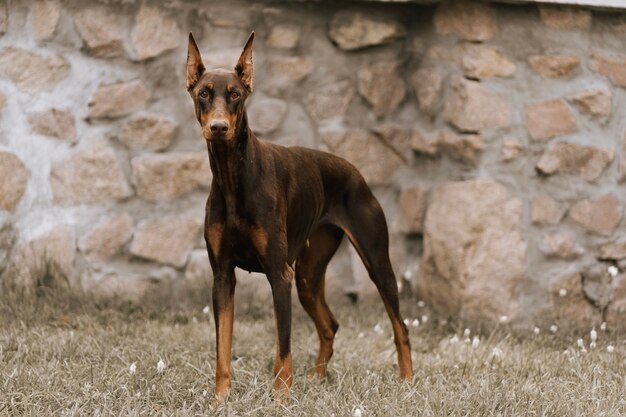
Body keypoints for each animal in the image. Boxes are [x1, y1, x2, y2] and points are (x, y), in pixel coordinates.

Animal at [184, 30, 410, 402]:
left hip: (375, 261)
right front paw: (221, 398)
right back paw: (317, 378)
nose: (218, 128)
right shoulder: (222, 277)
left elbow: (284, 346)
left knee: (399, 325)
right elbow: (222, 348)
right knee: (330, 325)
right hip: (308, 275)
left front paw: (281, 398)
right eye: (204, 93)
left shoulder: (279, 274)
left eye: (235, 94)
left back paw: (407, 381)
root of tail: (355, 171)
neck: (234, 176)